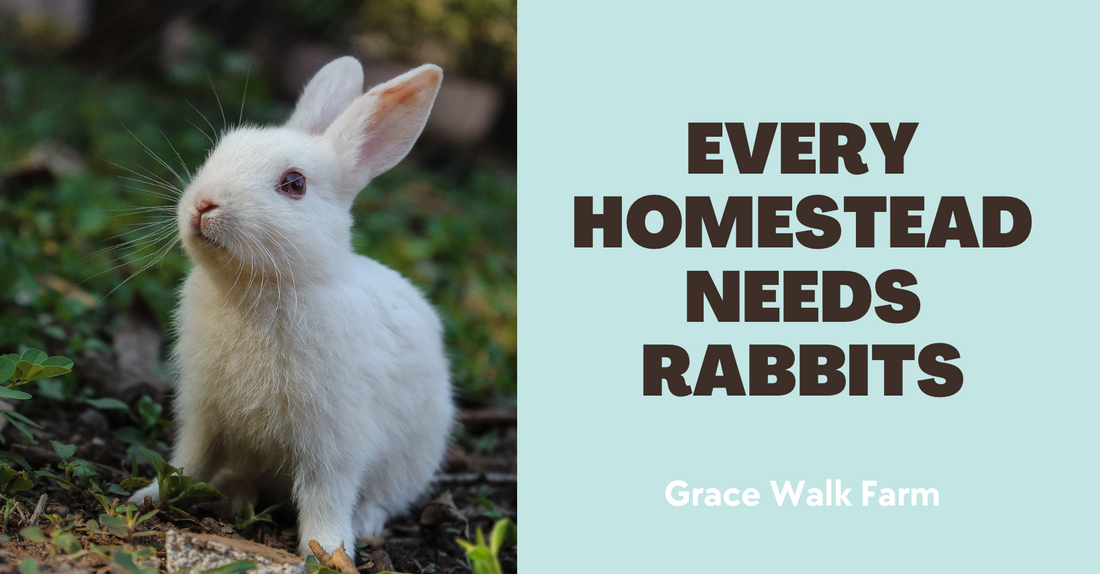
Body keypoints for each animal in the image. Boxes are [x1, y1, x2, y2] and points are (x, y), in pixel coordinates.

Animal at [128, 56, 455, 557]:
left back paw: (365, 525)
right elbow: (188, 460)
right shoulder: (203, 414)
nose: (203, 204)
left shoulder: (334, 440)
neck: (260, 287)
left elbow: (326, 494)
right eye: (220, 151)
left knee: (381, 498)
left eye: (294, 184)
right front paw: (149, 496)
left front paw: (329, 551)